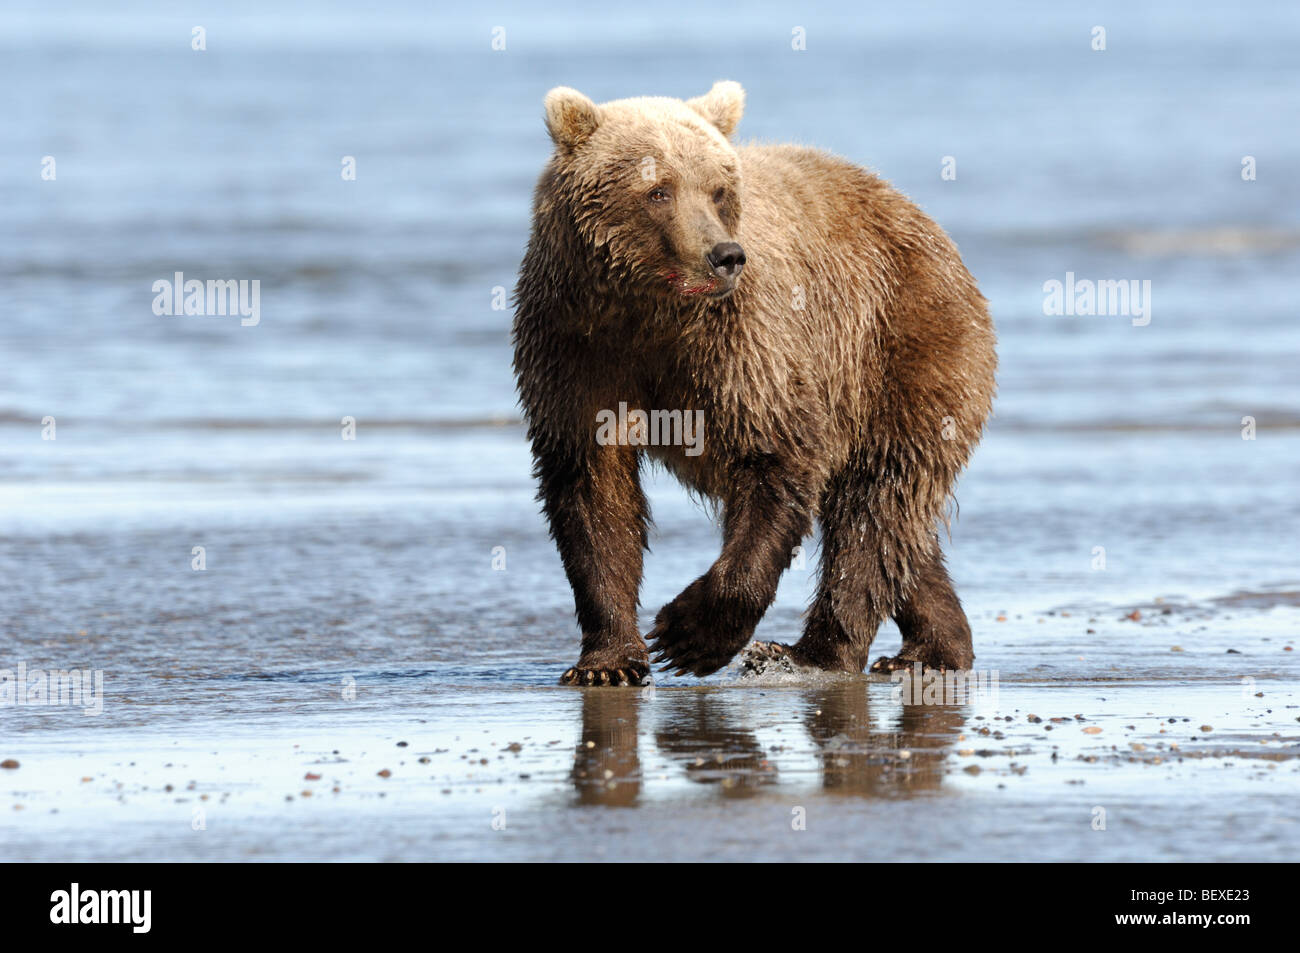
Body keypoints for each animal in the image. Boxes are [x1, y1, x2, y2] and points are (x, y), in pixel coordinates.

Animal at [512, 81, 996, 686]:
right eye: (658, 190)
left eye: (718, 190)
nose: (723, 256)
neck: (650, 313)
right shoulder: (576, 345)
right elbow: (593, 488)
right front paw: (609, 661)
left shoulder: (744, 343)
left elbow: (776, 455)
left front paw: (687, 634)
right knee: (899, 522)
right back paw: (934, 645)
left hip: (901, 345)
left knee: (875, 503)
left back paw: (815, 652)